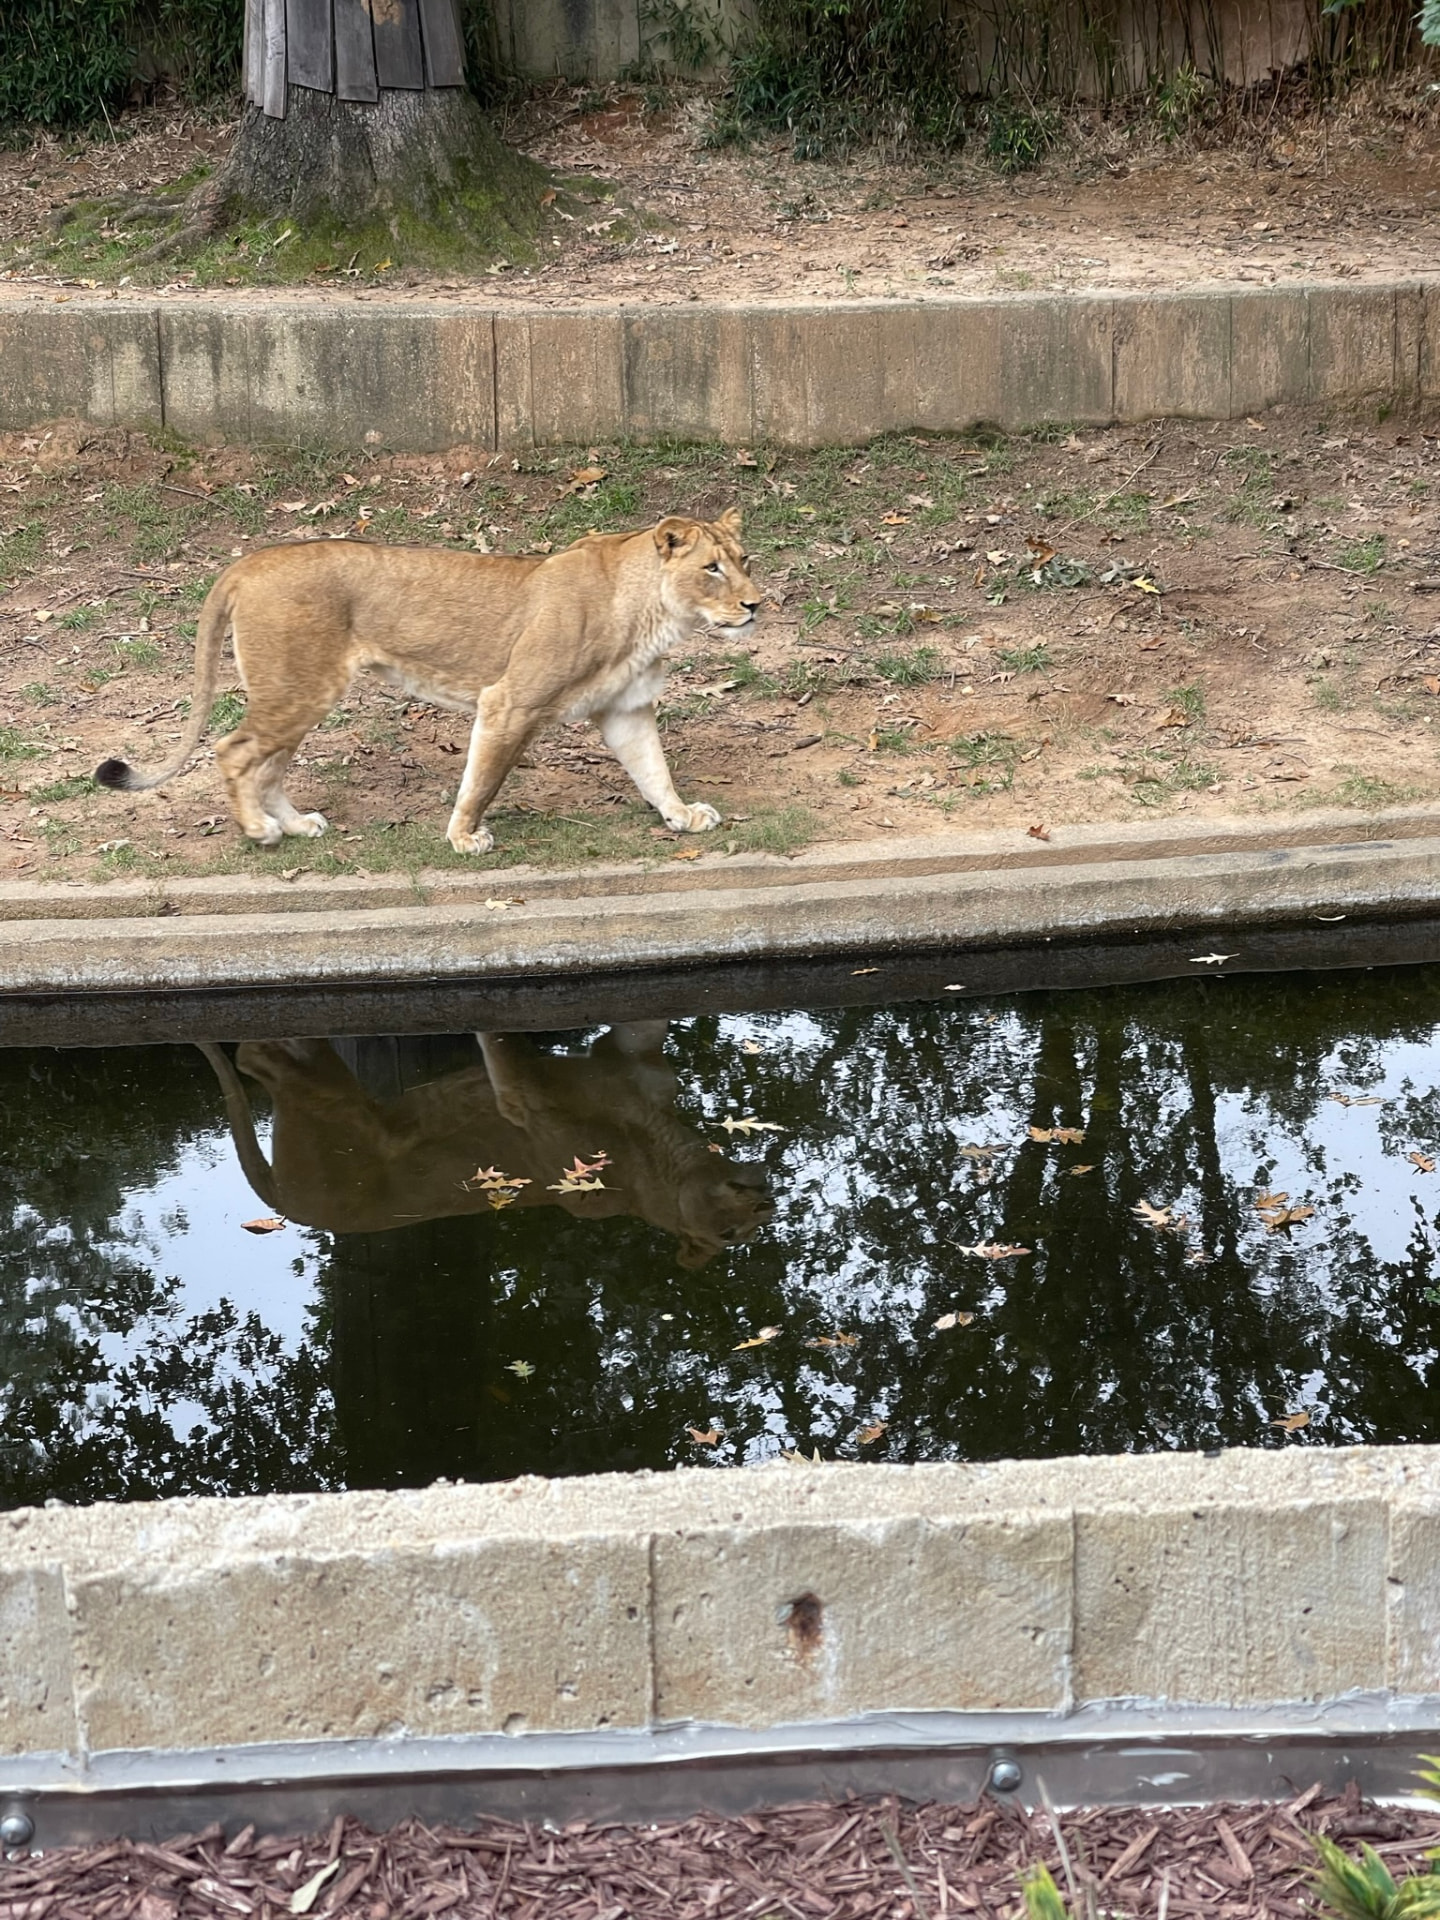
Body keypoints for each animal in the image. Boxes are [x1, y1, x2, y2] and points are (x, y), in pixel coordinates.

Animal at [96, 511, 758, 854]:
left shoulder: (627, 709)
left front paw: (681, 816)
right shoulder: (509, 703)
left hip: (304, 693)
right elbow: (482, 780)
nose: (756, 604)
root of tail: (249, 561)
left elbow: (654, 771)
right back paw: (261, 830)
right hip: (298, 688)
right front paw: (464, 838)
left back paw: (295, 823)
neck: (650, 615)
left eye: (745, 560)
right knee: (233, 750)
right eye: (711, 569)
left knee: (268, 765)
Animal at [198, 1022, 776, 1269]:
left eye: (759, 1223)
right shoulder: (525, 1099)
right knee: (252, 1054)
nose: (762, 1198)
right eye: (728, 1233)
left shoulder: (633, 1059)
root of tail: (290, 1207)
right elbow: (500, 1045)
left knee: (255, 1056)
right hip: (332, 1105)